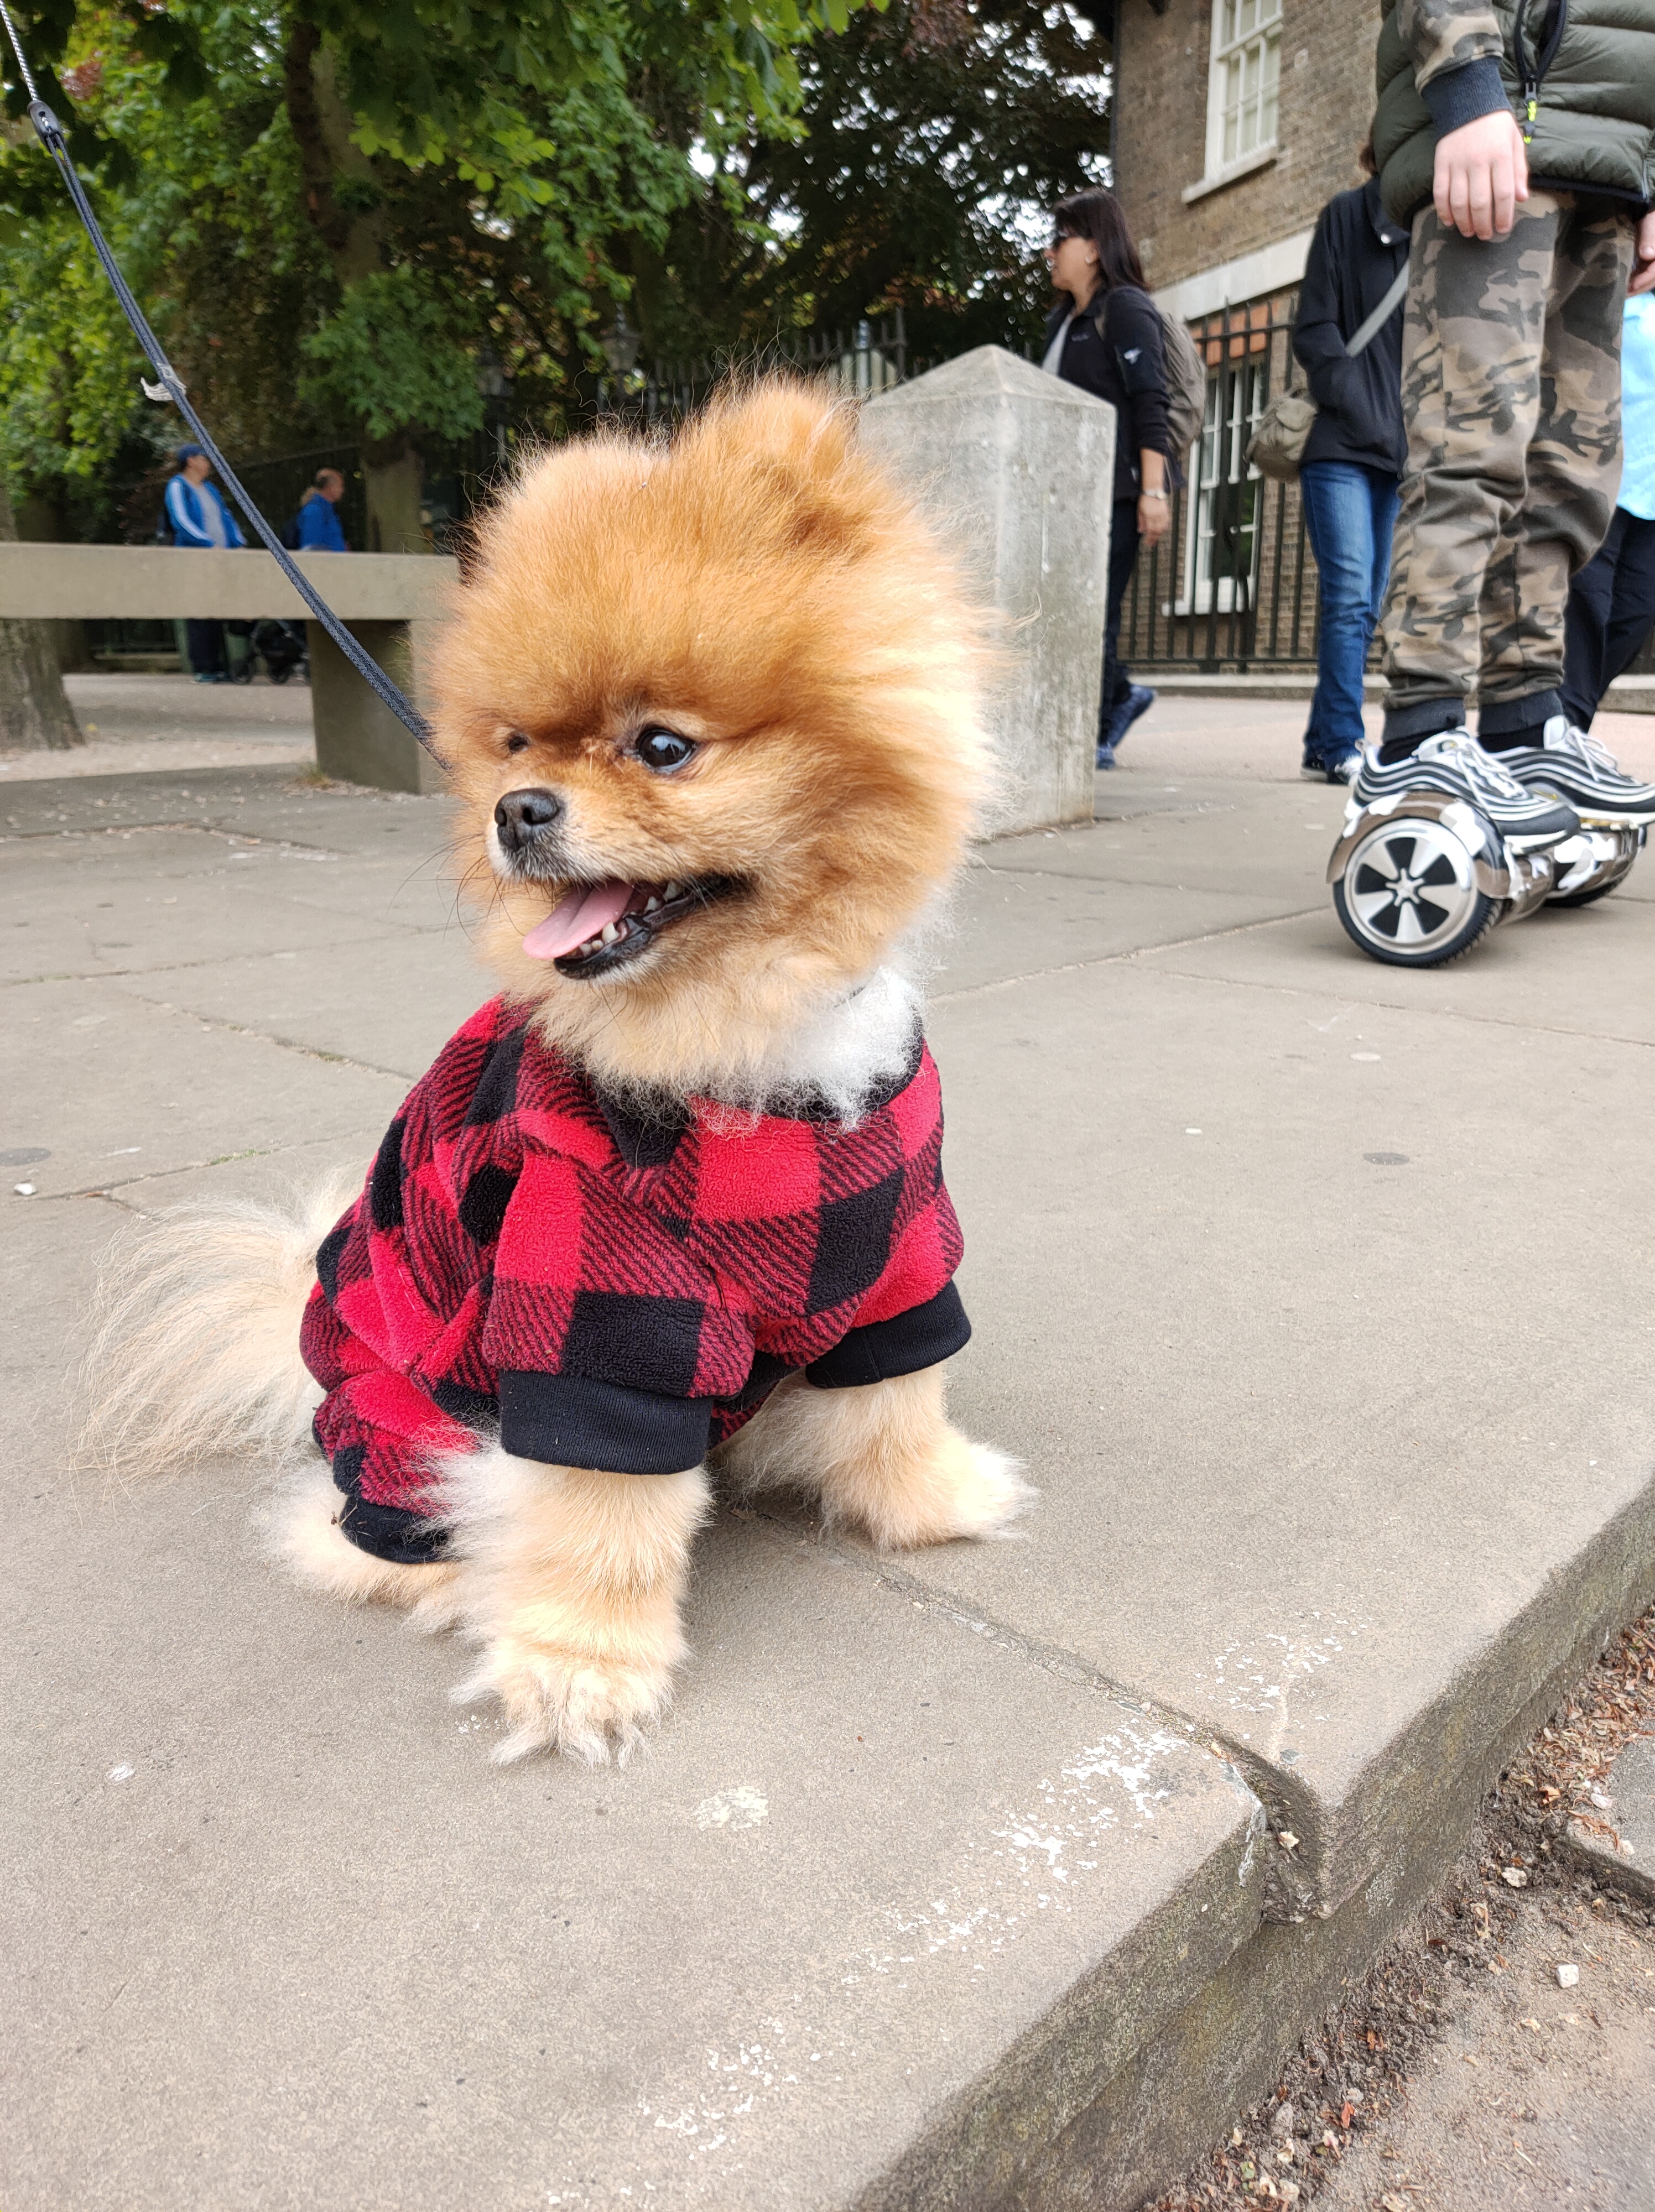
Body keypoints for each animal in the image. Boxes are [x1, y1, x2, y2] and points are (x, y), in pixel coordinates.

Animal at [82, 381, 1029, 1762]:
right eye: (518, 742)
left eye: (662, 746)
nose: (516, 806)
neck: (731, 1042)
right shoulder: (598, 1304)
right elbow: (594, 1515)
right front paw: (577, 1669)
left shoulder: (895, 1250)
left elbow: (897, 1396)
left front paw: (935, 1499)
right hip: (406, 1418)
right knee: (367, 1521)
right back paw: (447, 1574)